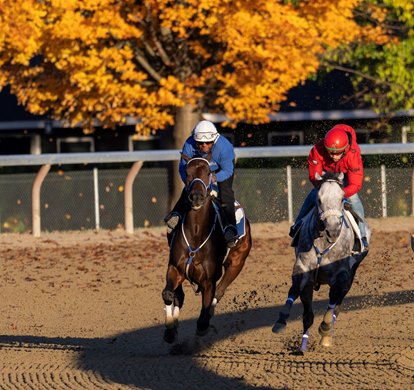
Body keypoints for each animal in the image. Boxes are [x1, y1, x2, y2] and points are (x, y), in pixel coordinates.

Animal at [162, 155, 252, 342]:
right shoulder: (175, 268)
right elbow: (168, 294)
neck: (197, 233)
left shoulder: (208, 281)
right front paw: (170, 327)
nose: (196, 197)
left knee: (220, 291)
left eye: (209, 172)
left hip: (237, 263)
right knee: (178, 296)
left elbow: (204, 315)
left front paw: (203, 324)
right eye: (188, 172)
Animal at [274, 172, 370, 352]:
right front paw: (299, 340)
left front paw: (325, 328)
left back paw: (327, 335)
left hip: (351, 275)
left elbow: (333, 302)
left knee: (337, 303)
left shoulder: (342, 276)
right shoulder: (303, 271)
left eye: (341, 198)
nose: (332, 230)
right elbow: (304, 308)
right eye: (318, 199)